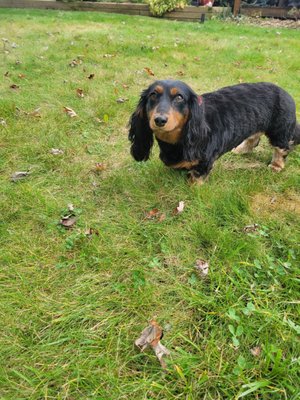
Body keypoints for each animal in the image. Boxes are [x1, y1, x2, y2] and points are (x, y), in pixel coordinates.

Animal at [127, 80, 298, 186]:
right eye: (153, 95)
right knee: (254, 138)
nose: (160, 120)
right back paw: (241, 149)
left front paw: (192, 188)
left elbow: (196, 177)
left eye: (179, 97)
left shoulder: (205, 161)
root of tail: (285, 92)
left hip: (279, 131)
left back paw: (276, 165)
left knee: (283, 147)